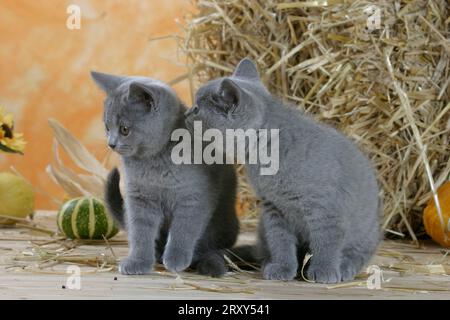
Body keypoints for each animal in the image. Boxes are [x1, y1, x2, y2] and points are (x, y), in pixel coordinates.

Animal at [90, 71, 239, 276]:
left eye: (124, 129)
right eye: (107, 127)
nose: (111, 144)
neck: (155, 162)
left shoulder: (193, 197)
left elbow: (184, 229)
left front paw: (176, 258)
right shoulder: (139, 199)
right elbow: (140, 232)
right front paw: (138, 261)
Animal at [185, 59, 382, 282]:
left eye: (197, 109)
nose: (186, 113)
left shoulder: (325, 208)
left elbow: (326, 243)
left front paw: (324, 271)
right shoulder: (273, 208)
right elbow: (280, 242)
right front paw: (282, 267)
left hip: (367, 233)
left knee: (358, 254)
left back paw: (345, 267)